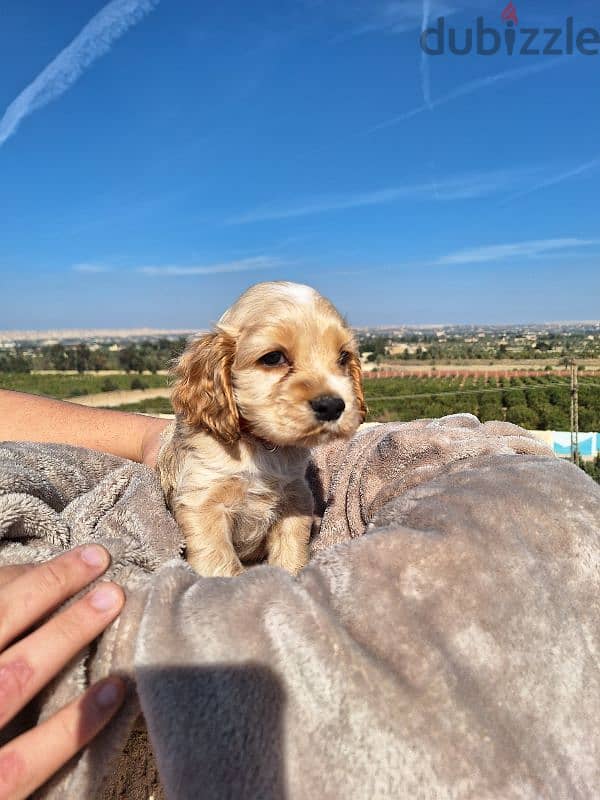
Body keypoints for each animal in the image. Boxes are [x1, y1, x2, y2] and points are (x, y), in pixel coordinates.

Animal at [157, 282, 366, 576]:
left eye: (343, 357)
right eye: (273, 357)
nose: (332, 406)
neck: (260, 446)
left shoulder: (296, 499)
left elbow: (290, 550)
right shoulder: (203, 502)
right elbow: (219, 560)